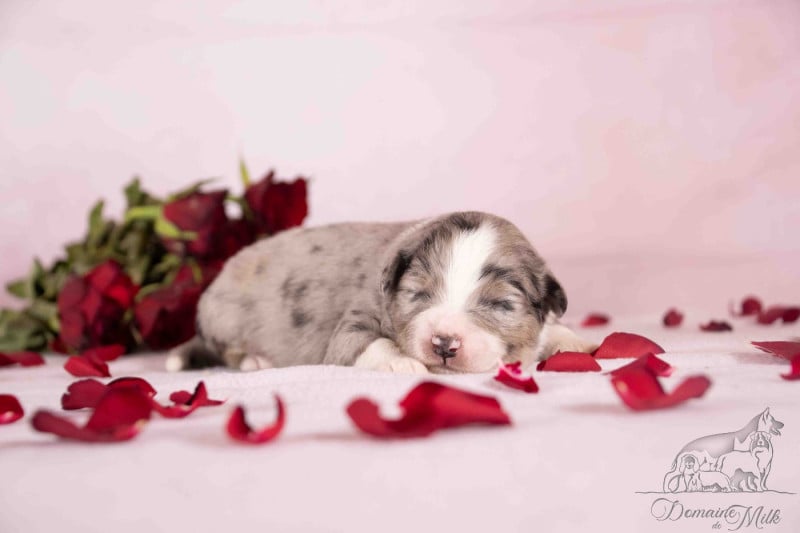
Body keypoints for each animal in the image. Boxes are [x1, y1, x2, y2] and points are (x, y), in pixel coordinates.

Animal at [166, 211, 596, 373]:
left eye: (500, 304)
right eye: (418, 294)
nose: (444, 343)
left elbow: (553, 328)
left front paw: (574, 342)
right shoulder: (352, 322)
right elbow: (368, 342)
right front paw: (401, 363)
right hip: (221, 315)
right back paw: (254, 360)